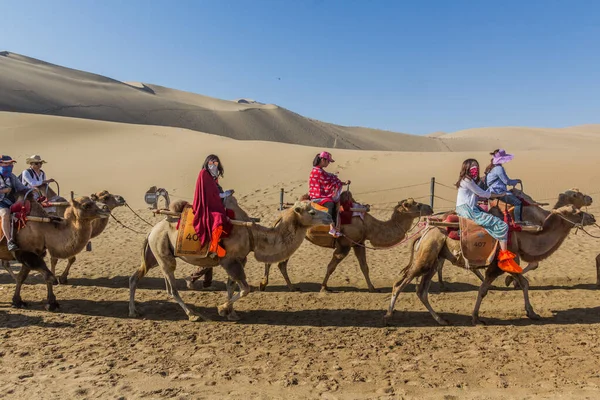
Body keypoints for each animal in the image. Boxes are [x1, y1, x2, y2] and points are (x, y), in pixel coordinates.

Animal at [127, 197, 332, 322]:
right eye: (311, 212)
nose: (330, 216)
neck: (253, 235)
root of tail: (152, 230)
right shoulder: (229, 261)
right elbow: (245, 289)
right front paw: (222, 308)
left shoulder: (240, 260)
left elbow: (231, 286)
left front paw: (231, 313)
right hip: (164, 254)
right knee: (172, 289)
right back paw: (192, 315)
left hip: (155, 254)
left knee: (136, 277)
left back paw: (134, 311)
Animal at [260, 198, 434, 294]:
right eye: (416, 205)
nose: (430, 208)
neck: (369, 225)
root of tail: (281, 215)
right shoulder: (344, 244)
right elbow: (331, 266)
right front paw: (324, 287)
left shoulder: (359, 243)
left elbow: (364, 266)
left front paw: (372, 288)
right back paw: (267, 284)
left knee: (280, 261)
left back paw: (290, 287)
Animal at [384, 205, 596, 326]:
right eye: (577, 212)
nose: (593, 217)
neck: (523, 235)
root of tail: (425, 231)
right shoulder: (499, 265)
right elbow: (486, 288)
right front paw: (476, 317)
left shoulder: (508, 262)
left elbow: (521, 283)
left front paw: (531, 312)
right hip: (427, 256)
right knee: (401, 283)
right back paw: (388, 316)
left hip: (435, 258)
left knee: (421, 290)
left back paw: (441, 319)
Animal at [434, 189, 592, 290]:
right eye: (578, 194)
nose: (590, 198)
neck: (543, 218)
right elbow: (533, 264)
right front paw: (511, 281)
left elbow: (530, 264)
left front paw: (512, 280)